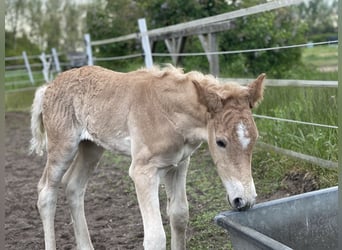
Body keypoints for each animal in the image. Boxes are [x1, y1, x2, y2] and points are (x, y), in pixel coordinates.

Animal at [30, 65, 266, 250]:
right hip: (63, 146)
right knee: (46, 191)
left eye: (255, 138)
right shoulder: (143, 171)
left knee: (73, 185)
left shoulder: (179, 164)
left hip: (91, 147)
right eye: (220, 142)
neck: (167, 113)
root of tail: (48, 87)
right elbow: (155, 238)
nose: (244, 200)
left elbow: (179, 216)